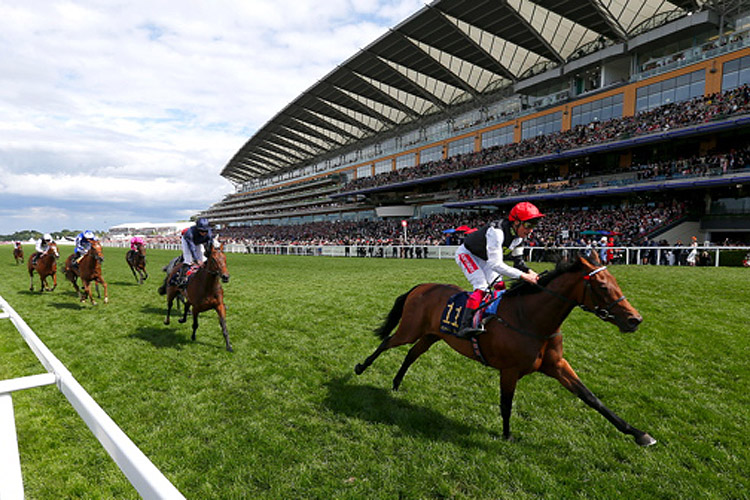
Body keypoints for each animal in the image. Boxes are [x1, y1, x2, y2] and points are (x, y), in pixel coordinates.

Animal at [356, 250, 656, 446]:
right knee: (387, 342)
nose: (635, 319)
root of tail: (421, 287)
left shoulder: (557, 365)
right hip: (410, 330)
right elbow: (506, 403)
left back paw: (396, 383)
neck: (531, 319)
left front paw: (639, 434)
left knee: (411, 355)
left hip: (432, 336)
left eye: (616, 282)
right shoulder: (509, 370)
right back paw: (360, 367)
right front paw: (507, 435)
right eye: (602, 287)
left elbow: (591, 398)